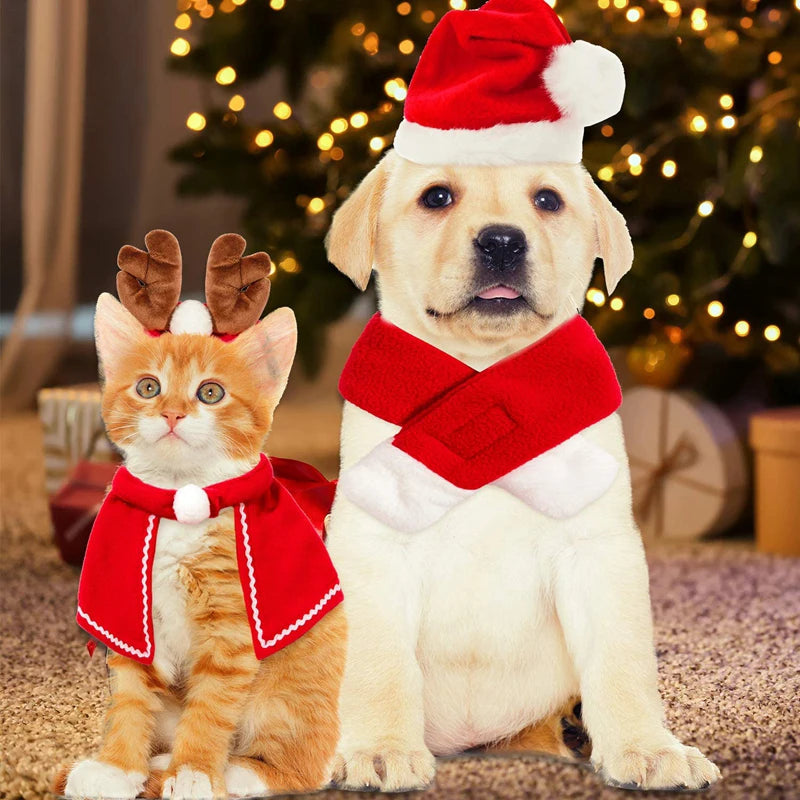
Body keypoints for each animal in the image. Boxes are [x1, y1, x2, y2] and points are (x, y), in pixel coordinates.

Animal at [59, 296, 346, 800]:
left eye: (210, 393)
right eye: (149, 387)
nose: (172, 414)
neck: (179, 499)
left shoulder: (232, 629)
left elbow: (210, 706)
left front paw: (194, 772)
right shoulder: (135, 614)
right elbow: (130, 698)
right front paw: (116, 767)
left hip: (289, 695)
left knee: (305, 768)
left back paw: (232, 771)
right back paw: (160, 759)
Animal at [322, 150, 720, 792]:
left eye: (548, 201)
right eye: (436, 197)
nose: (503, 241)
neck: (486, 379)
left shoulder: (597, 550)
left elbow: (622, 661)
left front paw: (648, 747)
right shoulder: (373, 550)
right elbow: (380, 666)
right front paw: (379, 748)